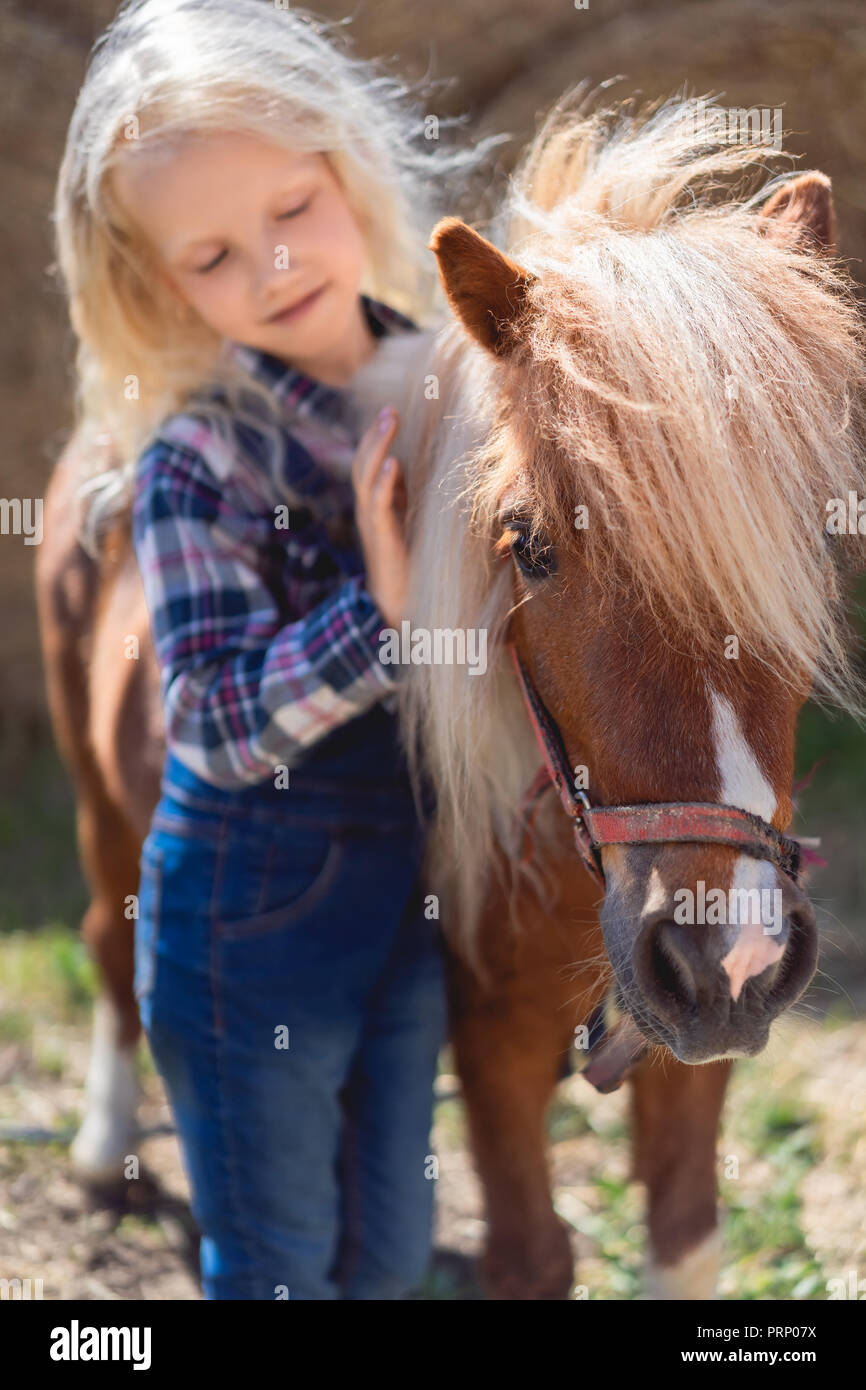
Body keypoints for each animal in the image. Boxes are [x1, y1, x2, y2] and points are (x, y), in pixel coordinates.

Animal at [37, 100, 861, 1301]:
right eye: (530, 548)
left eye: (806, 547)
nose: (727, 948)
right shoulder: (490, 1036)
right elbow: (530, 1253)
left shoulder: (687, 1046)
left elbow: (682, 1233)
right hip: (97, 793)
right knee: (109, 936)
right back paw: (102, 1157)